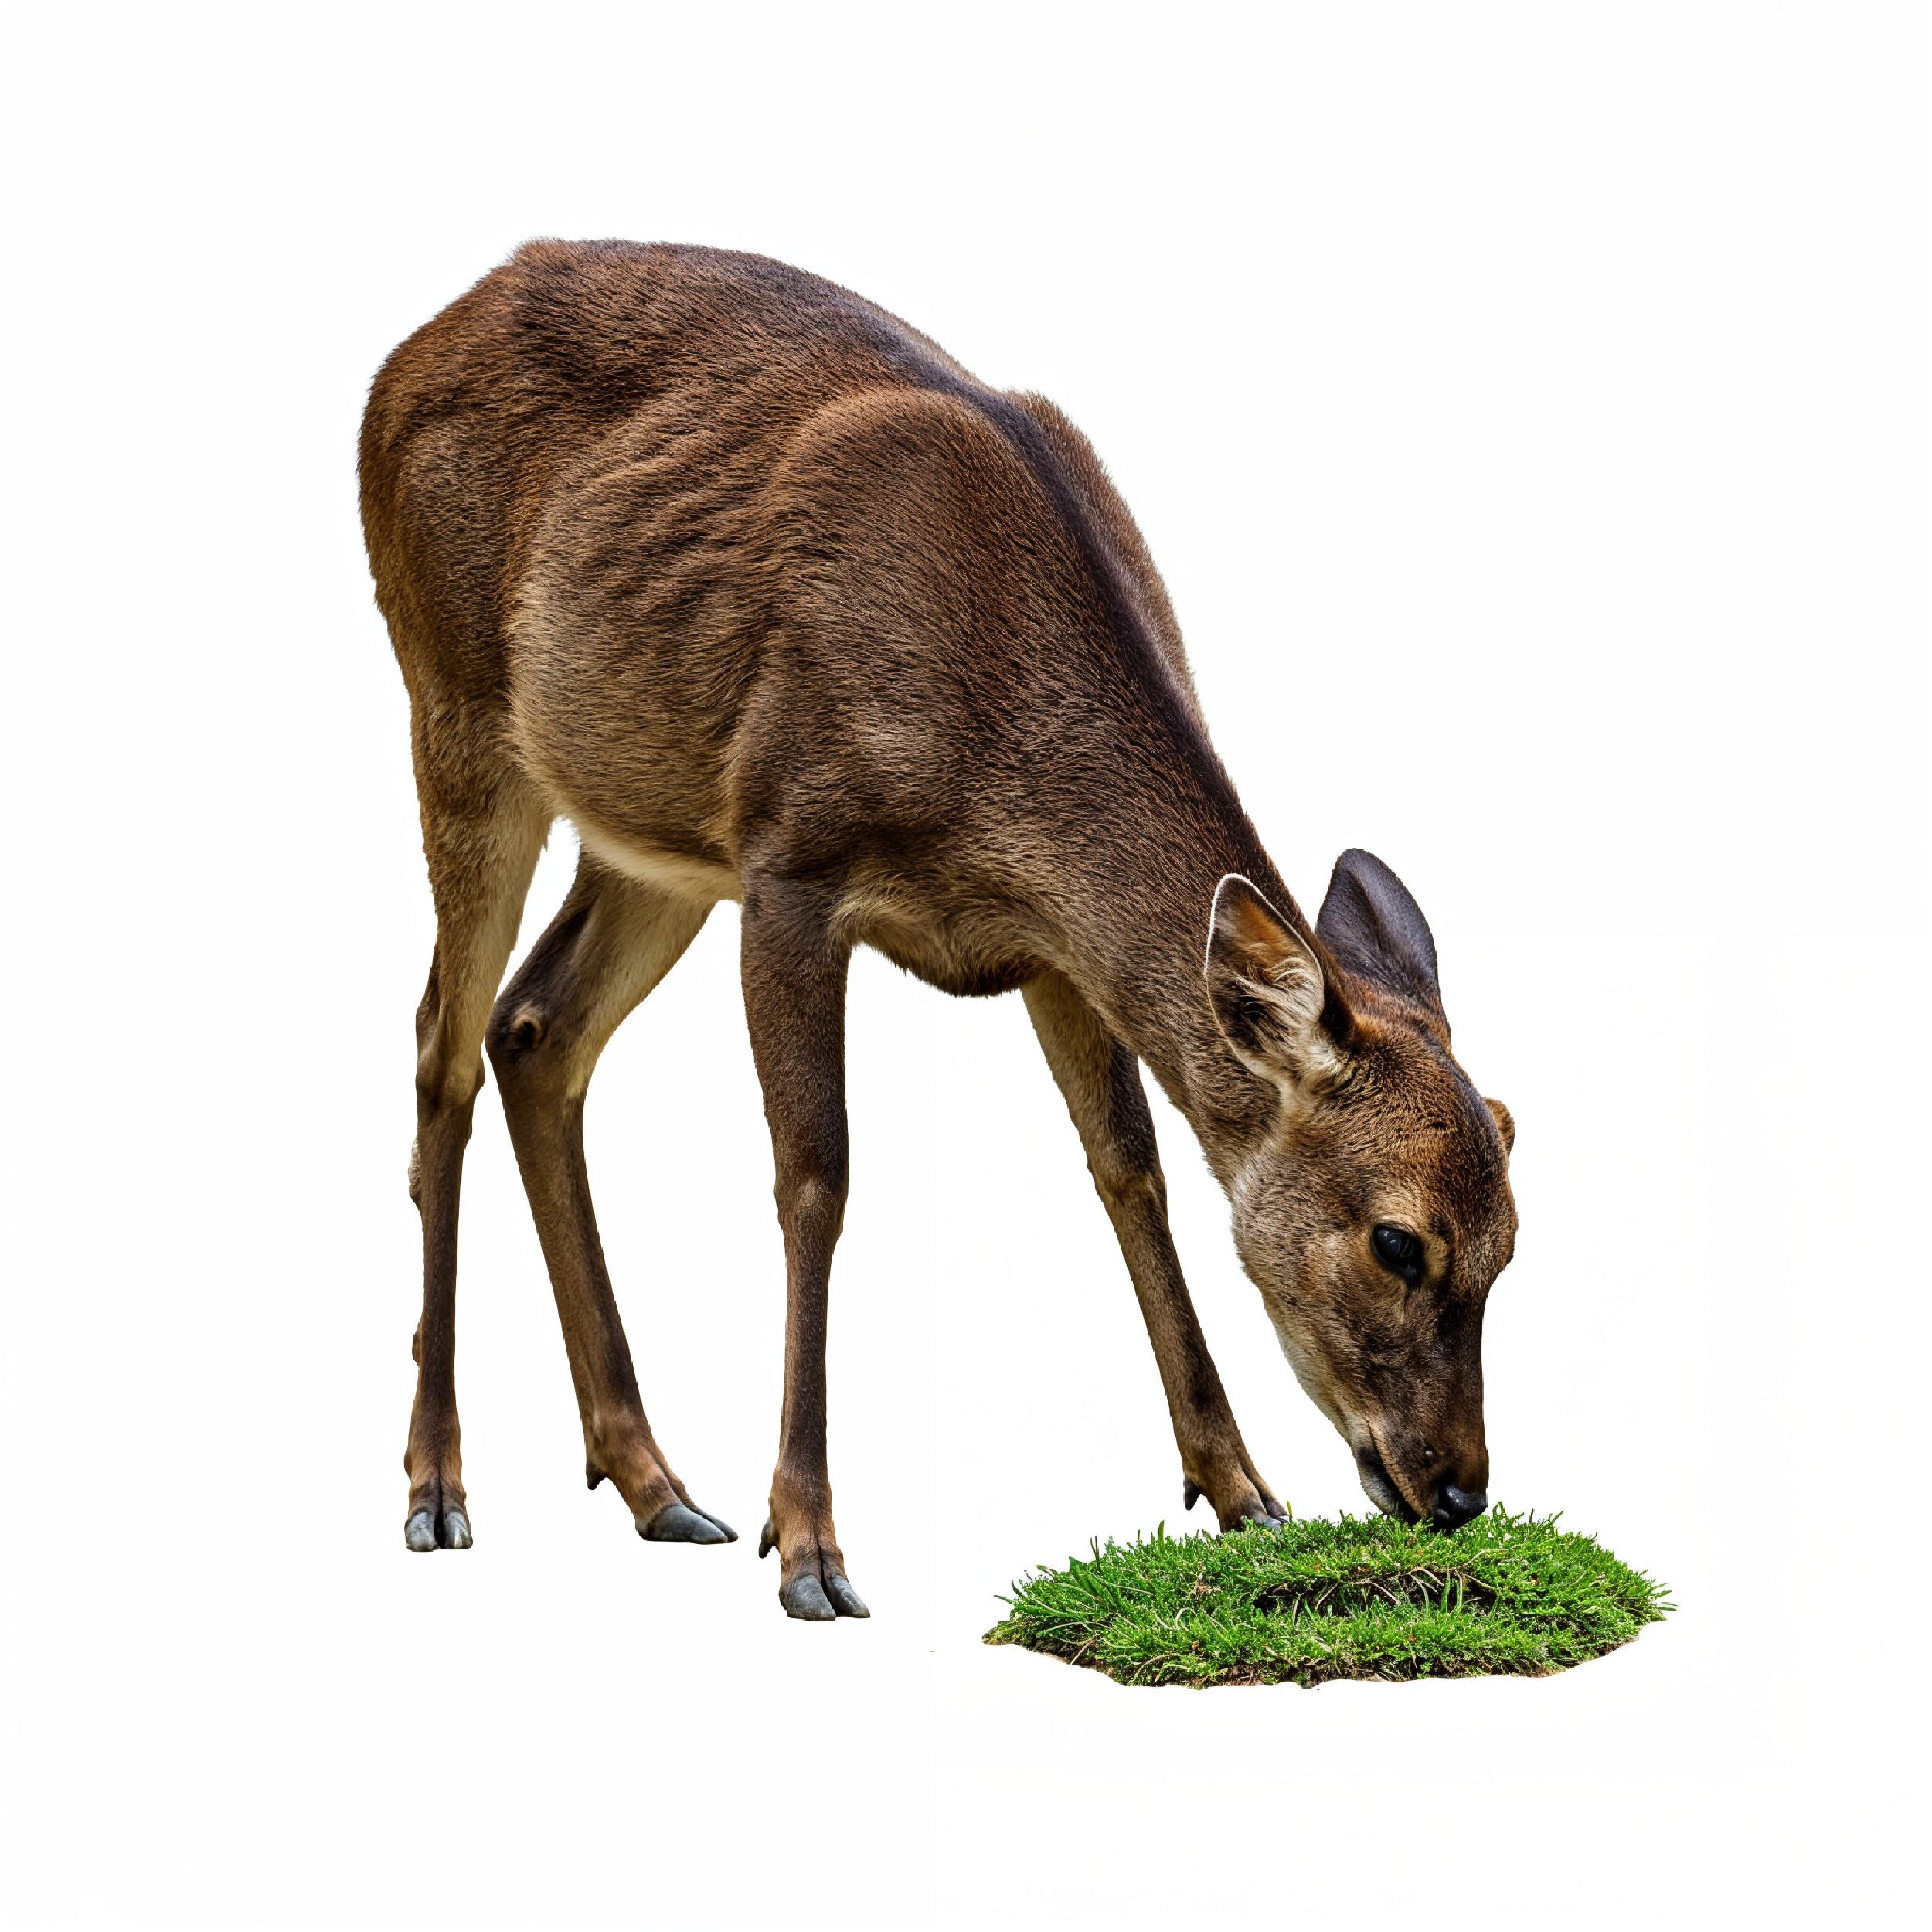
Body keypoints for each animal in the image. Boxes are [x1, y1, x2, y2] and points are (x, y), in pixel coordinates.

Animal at [359, 241, 1518, 1621]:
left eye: (1512, 1245)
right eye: (1399, 1241)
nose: (1458, 1490)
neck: (996, 780)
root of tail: (398, 362)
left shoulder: (1054, 950)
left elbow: (1131, 1170)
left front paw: (1240, 1491)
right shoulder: (791, 857)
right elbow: (817, 1176)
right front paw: (810, 1547)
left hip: (652, 827)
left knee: (535, 1028)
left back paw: (654, 1483)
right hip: (456, 707)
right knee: (439, 1043)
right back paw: (436, 1488)